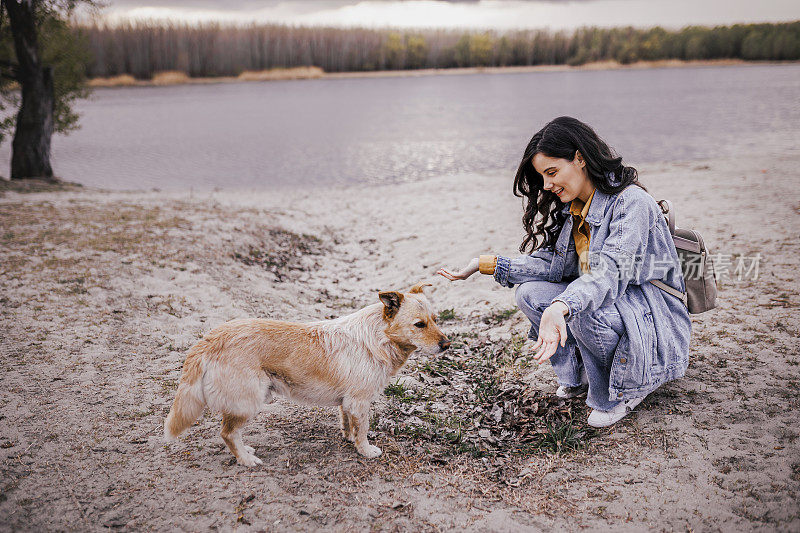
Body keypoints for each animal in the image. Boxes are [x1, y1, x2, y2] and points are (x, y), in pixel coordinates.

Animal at [162, 282, 450, 466]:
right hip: (249, 401)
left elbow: (348, 423)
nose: (447, 344)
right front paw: (366, 450)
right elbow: (364, 429)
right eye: (419, 325)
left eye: (436, 320)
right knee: (227, 433)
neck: (378, 338)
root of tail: (211, 338)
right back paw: (245, 459)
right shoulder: (360, 402)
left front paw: (349, 439)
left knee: (230, 431)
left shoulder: (348, 403)